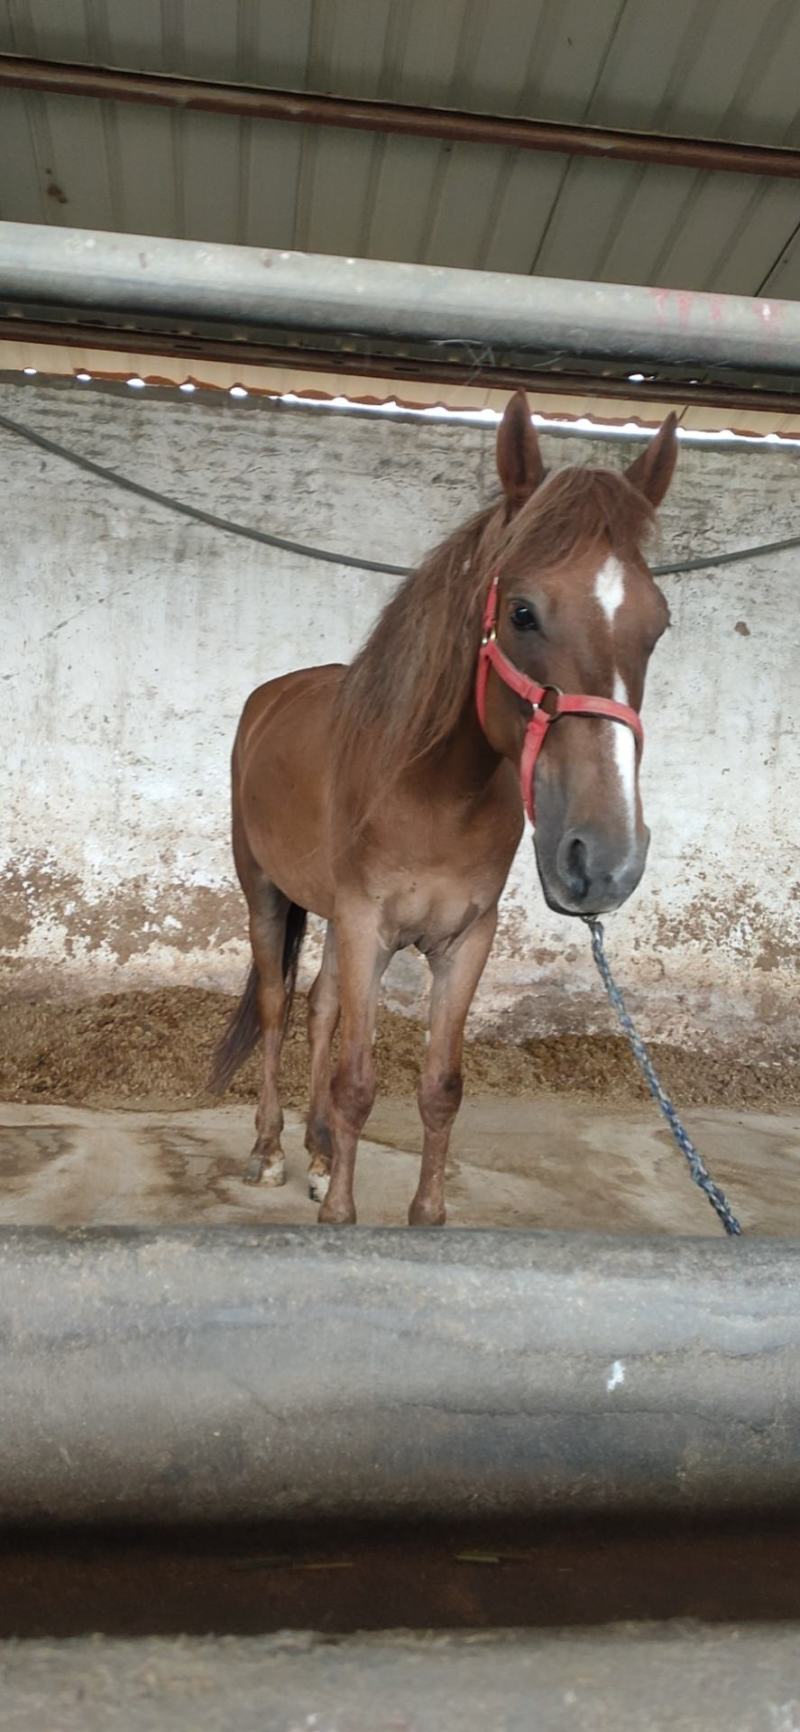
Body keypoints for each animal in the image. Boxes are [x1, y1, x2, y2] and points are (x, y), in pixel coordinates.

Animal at [211, 392, 677, 1226]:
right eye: (521, 612)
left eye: (657, 626)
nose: (605, 861)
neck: (434, 790)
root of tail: (271, 696)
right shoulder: (367, 924)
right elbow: (359, 1082)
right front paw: (340, 1218)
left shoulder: (463, 941)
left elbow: (440, 1087)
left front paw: (418, 1216)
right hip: (265, 893)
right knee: (275, 1007)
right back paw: (268, 1151)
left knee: (321, 1008)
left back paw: (319, 1156)